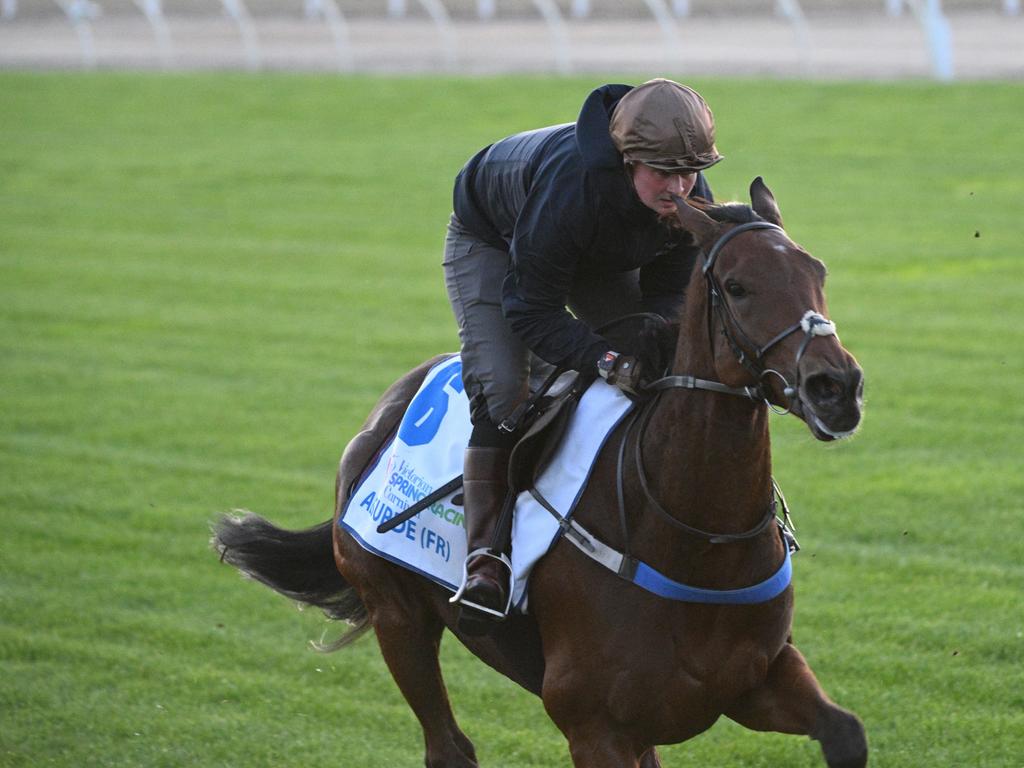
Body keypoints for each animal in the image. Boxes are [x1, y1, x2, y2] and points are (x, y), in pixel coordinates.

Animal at [214, 177, 864, 765]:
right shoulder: (594, 725)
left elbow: (846, 733)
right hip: (397, 616)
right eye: (737, 286)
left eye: (818, 271)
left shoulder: (756, 679)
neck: (696, 540)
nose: (836, 387)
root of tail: (384, 410)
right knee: (448, 747)